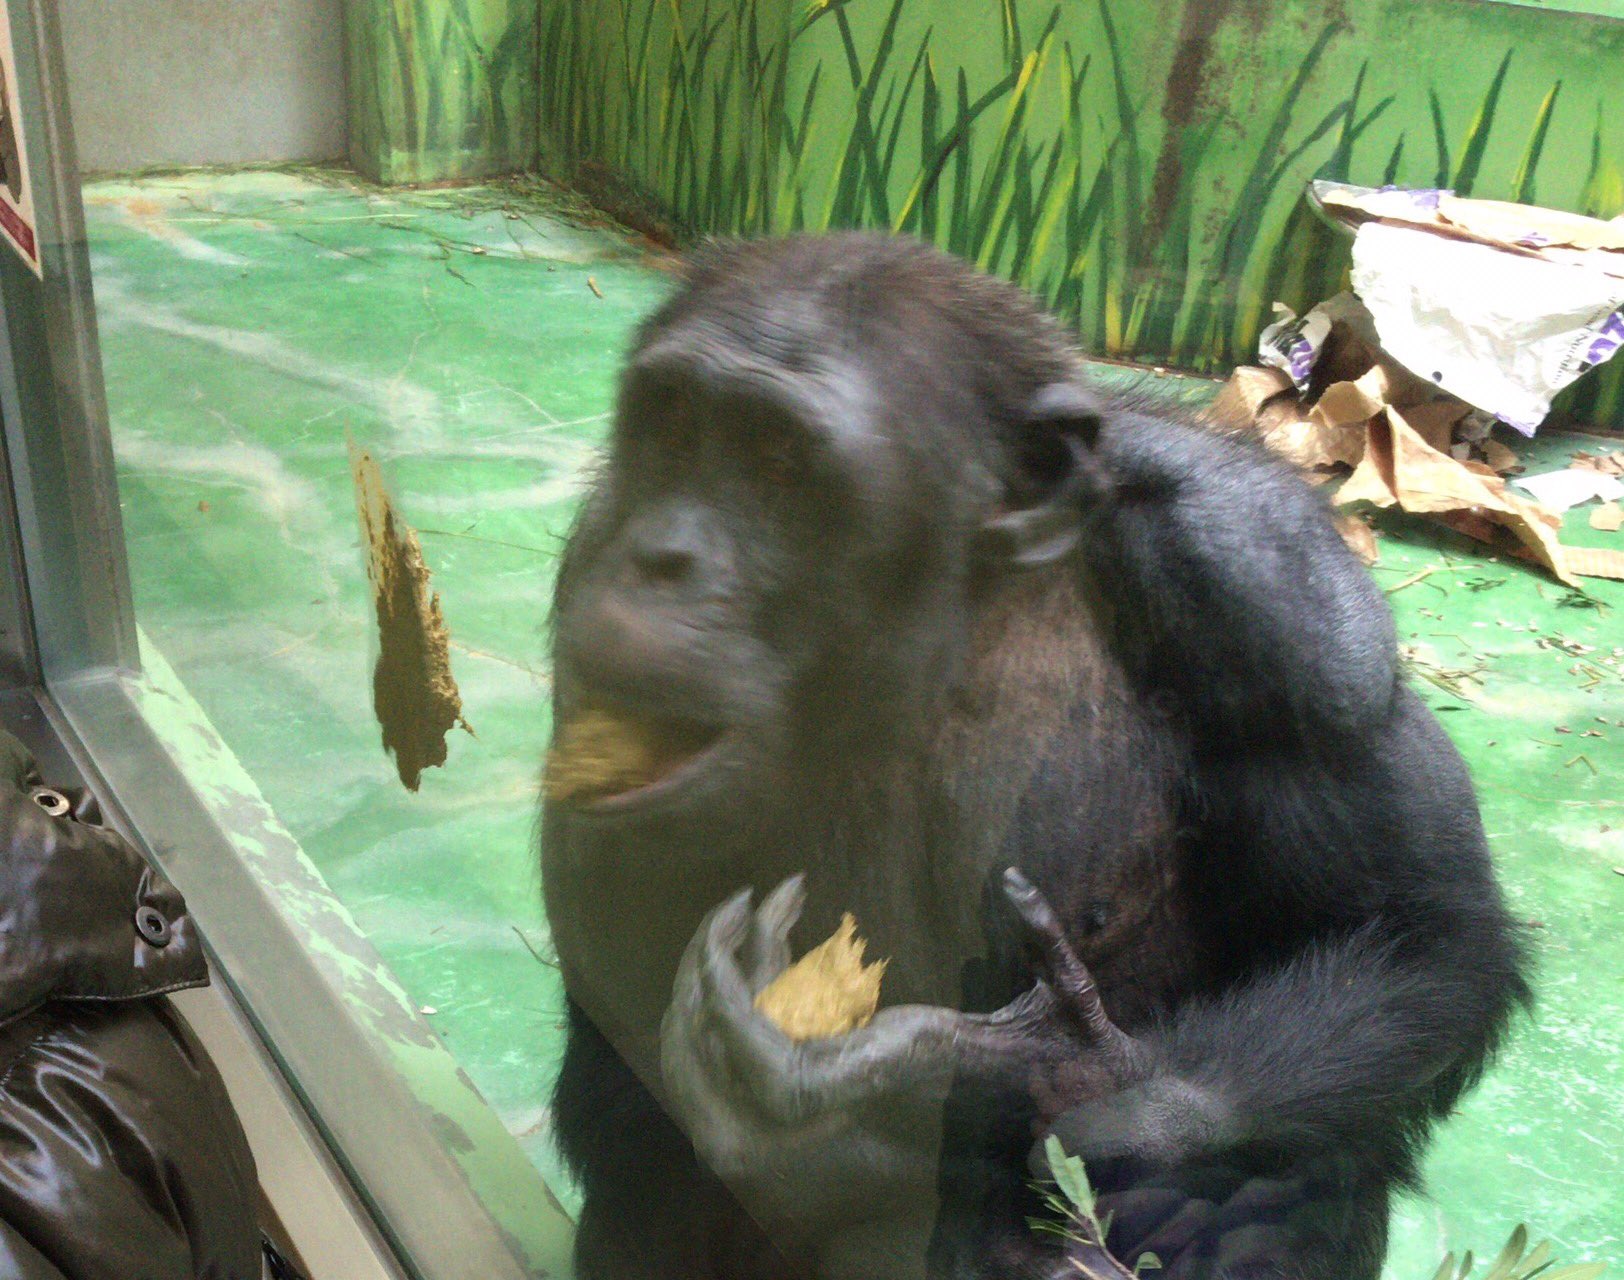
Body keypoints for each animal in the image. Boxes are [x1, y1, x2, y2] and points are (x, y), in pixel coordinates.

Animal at [539, 232, 1526, 1280]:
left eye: (777, 458)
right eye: (675, 429)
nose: (664, 555)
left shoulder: (1289, 606)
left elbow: (1412, 929)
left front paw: (1069, 1078)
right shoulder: (592, 556)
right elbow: (616, 966)